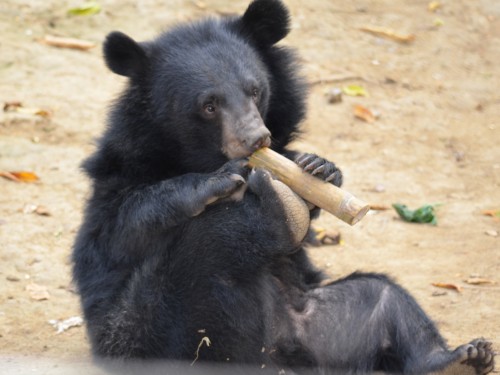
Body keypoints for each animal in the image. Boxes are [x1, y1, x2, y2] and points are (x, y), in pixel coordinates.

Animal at [72, 0, 494, 374]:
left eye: (255, 90)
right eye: (209, 105)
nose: (256, 138)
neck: (195, 156)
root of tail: (278, 355)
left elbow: (304, 178)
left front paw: (320, 169)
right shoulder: (123, 169)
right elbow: (124, 224)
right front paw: (219, 181)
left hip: (333, 324)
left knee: (386, 297)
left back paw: (461, 359)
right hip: (155, 329)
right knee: (204, 247)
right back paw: (275, 214)